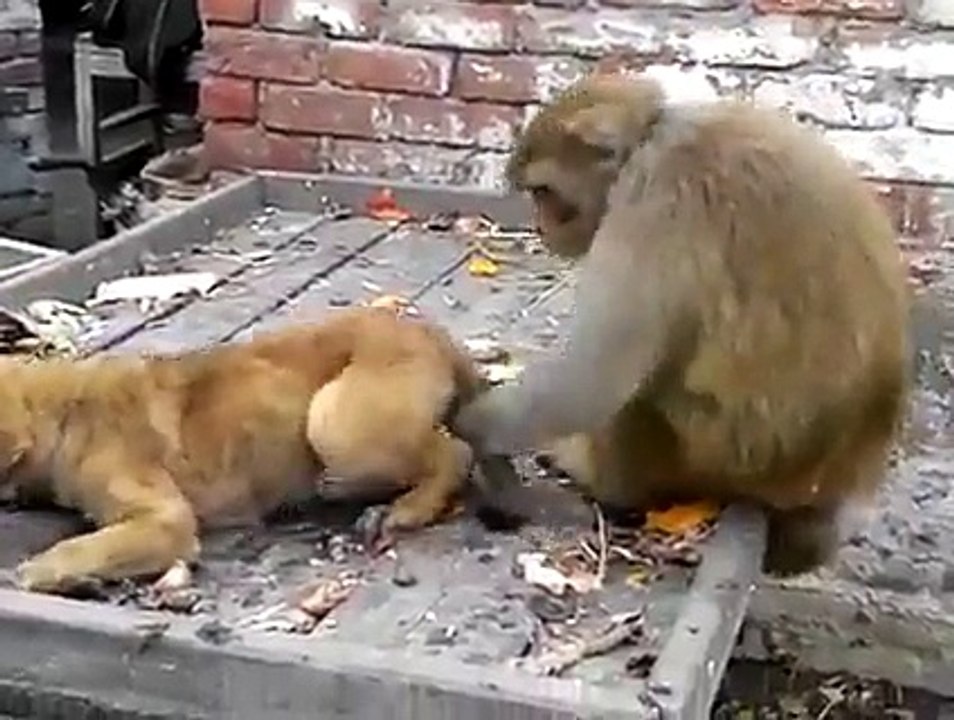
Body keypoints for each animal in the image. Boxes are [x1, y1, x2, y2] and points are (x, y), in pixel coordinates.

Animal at [1, 307, 500, 594]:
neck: (63, 411)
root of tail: (435, 335)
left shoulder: (164, 521)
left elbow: (90, 544)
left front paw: (40, 570)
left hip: (335, 424)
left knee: (456, 453)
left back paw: (407, 508)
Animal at [452, 72, 911, 575]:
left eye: (544, 193)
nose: (540, 227)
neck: (652, 134)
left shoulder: (652, 198)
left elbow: (596, 378)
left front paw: (474, 422)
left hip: (707, 457)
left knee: (640, 396)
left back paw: (603, 481)